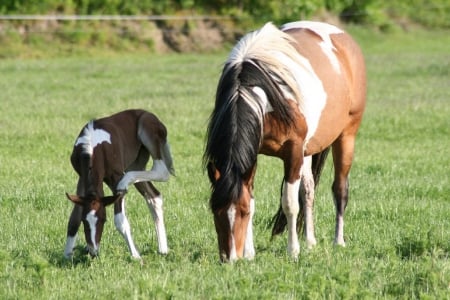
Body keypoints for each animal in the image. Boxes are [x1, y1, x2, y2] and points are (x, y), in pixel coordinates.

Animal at [63, 109, 174, 258]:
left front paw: (135, 255)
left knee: (161, 170)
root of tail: (148, 113)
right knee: (153, 196)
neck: (92, 147)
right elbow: (74, 217)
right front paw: (67, 255)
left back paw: (126, 181)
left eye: (103, 220)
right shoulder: (82, 178)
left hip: (147, 131)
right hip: (136, 163)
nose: (93, 251)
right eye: (84, 221)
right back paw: (163, 250)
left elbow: (120, 220)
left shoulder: (115, 178)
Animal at [204, 20, 366, 262]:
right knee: (308, 191)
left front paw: (293, 251)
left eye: (242, 212)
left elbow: (289, 203)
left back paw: (338, 241)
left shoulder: (294, 151)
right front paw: (250, 253)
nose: (230, 258)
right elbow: (254, 196)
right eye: (216, 211)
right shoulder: (255, 153)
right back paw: (310, 241)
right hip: (309, 152)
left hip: (346, 136)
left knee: (340, 189)